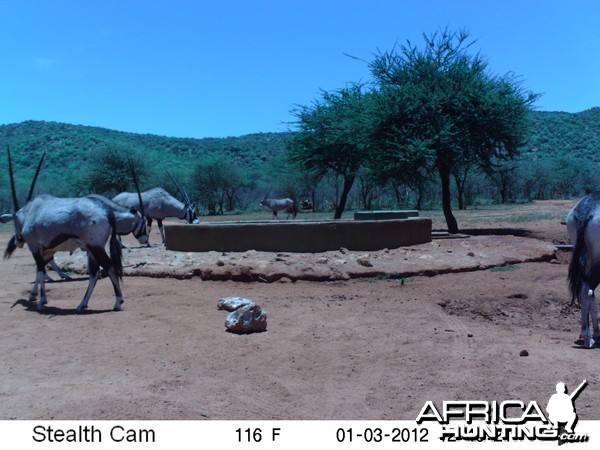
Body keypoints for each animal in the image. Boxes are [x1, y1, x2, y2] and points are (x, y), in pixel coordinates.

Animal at [0, 148, 125, 312]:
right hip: (91, 249)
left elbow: (40, 272)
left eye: (15, 221)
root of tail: (107, 210)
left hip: (95, 246)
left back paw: (117, 302)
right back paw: (82, 304)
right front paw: (35, 296)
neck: (29, 212)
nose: (17, 241)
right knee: (94, 273)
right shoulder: (46, 251)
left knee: (109, 267)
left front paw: (41, 302)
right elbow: (41, 272)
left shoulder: (35, 247)